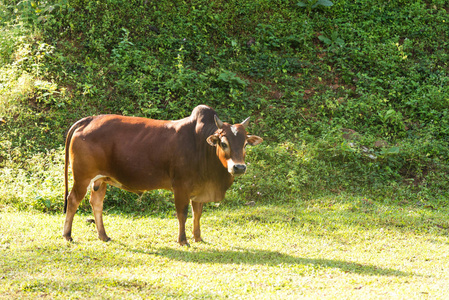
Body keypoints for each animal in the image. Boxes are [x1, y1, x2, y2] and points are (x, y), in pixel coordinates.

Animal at [61, 105, 260, 246]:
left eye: (245, 144)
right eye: (224, 143)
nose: (239, 167)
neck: (202, 146)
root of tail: (89, 119)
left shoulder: (199, 189)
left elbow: (197, 214)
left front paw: (198, 237)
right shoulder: (180, 186)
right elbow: (182, 213)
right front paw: (183, 240)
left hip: (101, 180)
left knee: (96, 203)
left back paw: (103, 235)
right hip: (82, 177)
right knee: (73, 200)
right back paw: (67, 235)